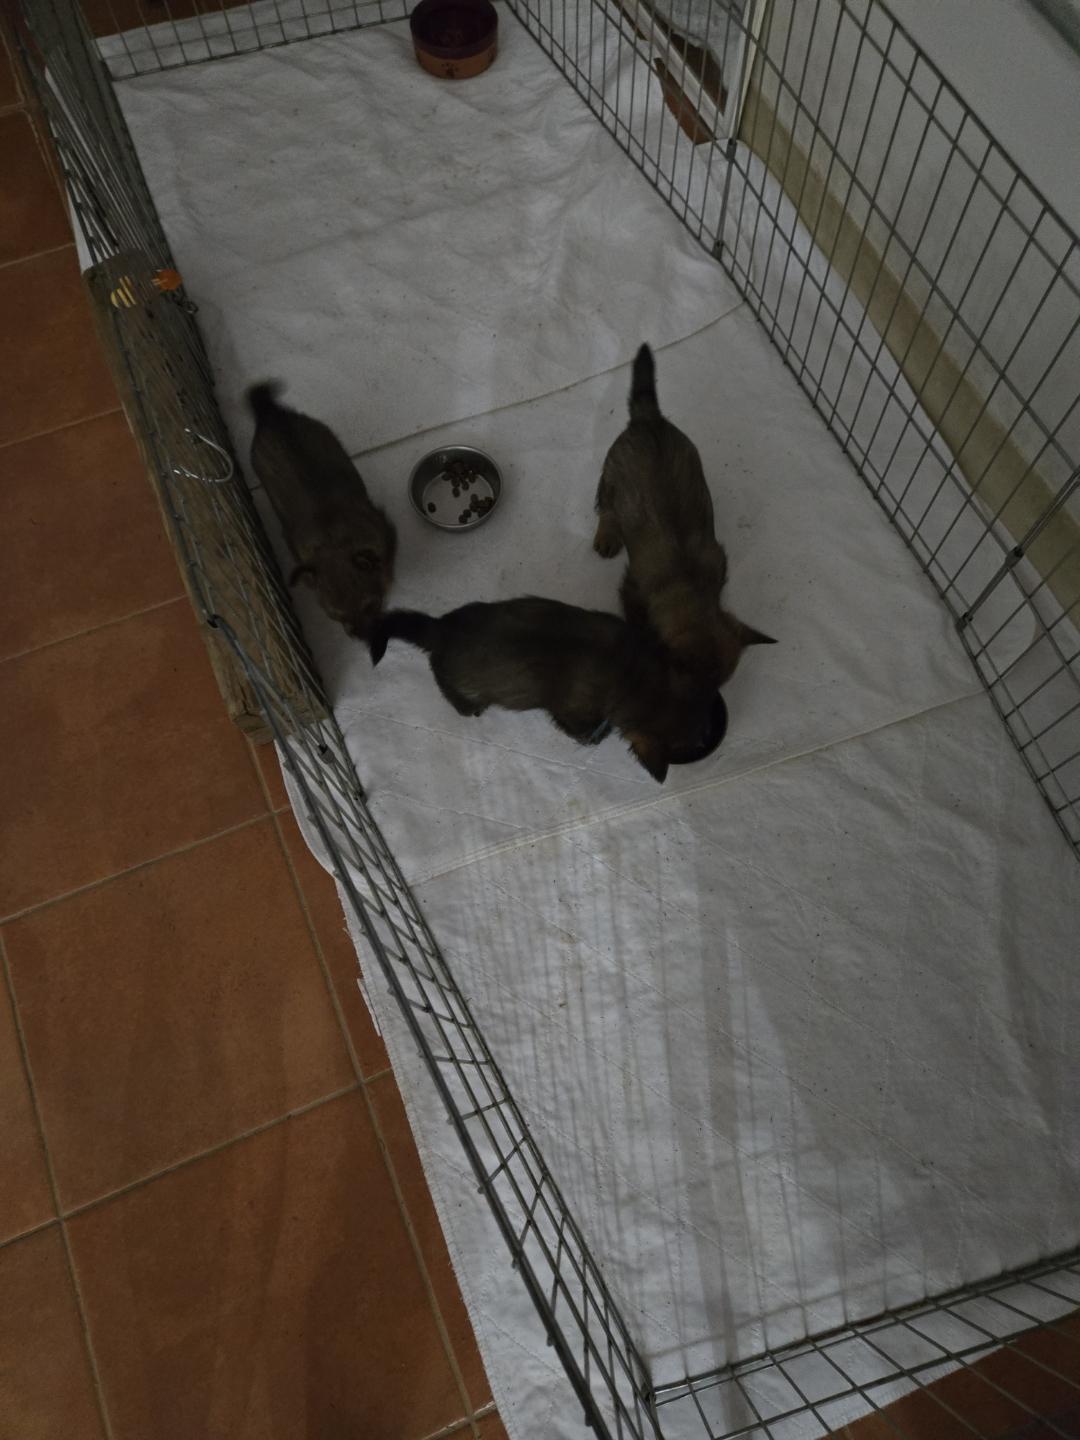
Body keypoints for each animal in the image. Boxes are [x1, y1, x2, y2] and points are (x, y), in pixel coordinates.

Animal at [370, 597, 721, 782]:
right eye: (693, 740)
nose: (707, 737)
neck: (632, 677)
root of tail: (440, 630)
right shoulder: (572, 713)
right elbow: (583, 731)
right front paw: (598, 736)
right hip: (462, 685)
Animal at [593, 344, 774, 684]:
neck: (689, 584)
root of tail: (649, 418)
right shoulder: (632, 590)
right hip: (611, 479)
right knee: (606, 508)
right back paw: (607, 537)